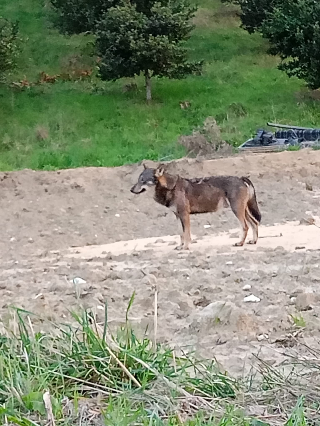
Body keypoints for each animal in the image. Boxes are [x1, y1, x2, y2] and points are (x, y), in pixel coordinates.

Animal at [130, 164, 260, 250]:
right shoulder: (177, 216)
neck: (170, 188)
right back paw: (253, 241)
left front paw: (186, 247)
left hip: (237, 211)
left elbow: (187, 233)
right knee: (255, 223)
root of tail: (241, 178)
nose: (131, 190)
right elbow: (181, 233)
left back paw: (240, 243)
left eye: (143, 181)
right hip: (243, 211)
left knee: (246, 226)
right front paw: (180, 246)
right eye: (138, 180)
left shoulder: (184, 215)